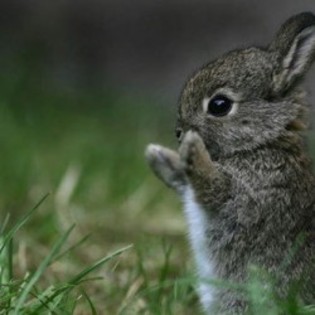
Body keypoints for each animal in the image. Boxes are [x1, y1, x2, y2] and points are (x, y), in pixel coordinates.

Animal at [146, 11, 315, 314]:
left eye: (219, 105)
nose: (179, 132)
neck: (262, 143)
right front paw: (158, 155)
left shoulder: (246, 197)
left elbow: (212, 185)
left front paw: (192, 148)